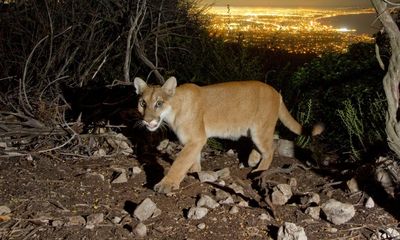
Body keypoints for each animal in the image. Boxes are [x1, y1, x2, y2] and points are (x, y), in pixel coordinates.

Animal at [134, 77, 322, 193]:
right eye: (142, 103)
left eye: (159, 103)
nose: (147, 120)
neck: (174, 109)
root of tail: (276, 92)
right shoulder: (195, 140)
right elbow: (192, 157)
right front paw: (195, 170)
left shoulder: (196, 138)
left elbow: (180, 161)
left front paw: (167, 183)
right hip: (254, 130)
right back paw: (253, 159)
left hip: (260, 129)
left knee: (271, 148)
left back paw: (258, 170)